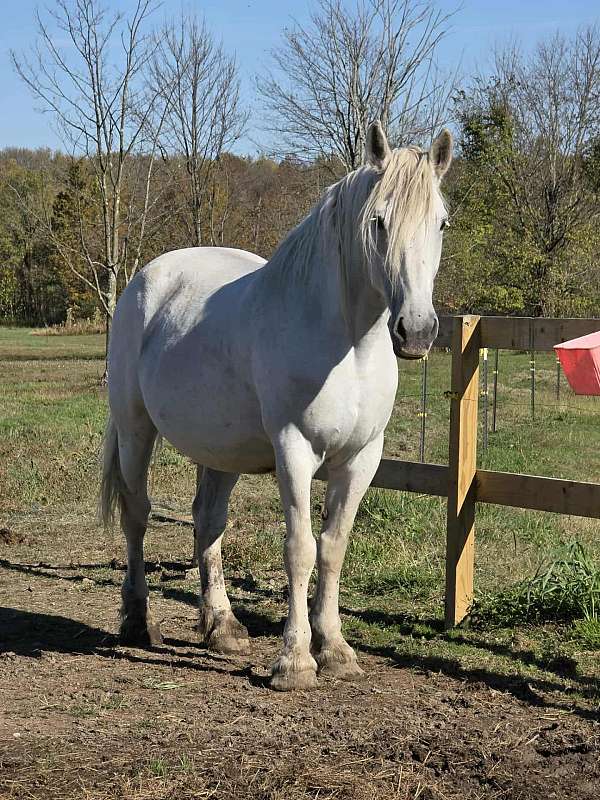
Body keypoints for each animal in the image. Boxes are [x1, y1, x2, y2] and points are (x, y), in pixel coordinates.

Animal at [100, 121, 453, 691]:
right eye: (378, 221)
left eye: (441, 222)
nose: (416, 331)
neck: (347, 344)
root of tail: (146, 280)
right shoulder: (295, 451)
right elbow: (300, 549)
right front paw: (295, 661)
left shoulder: (361, 458)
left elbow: (333, 547)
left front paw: (336, 649)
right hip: (136, 431)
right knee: (137, 514)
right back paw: (136, 622)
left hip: (219, 451)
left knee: (207, 521)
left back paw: (221, 628)